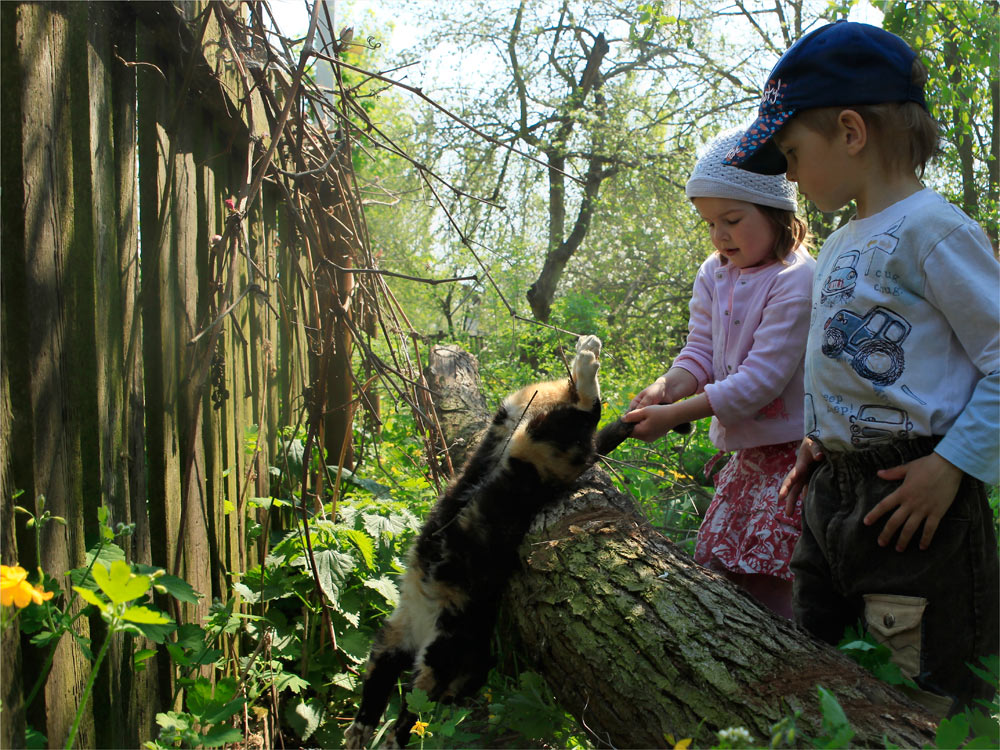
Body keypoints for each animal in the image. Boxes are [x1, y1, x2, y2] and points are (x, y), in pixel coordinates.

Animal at [344, 338, 600, 748]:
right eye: (463, 691)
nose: (454, 700)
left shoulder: (400, 645)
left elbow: (385, 697)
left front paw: (369, 733)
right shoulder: (419, 650)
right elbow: (396, 704)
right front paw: (378, 734)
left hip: (521, 431)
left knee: (573, 402)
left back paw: (585, 352)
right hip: (534, 438)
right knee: (583, 407)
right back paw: (588, 354)